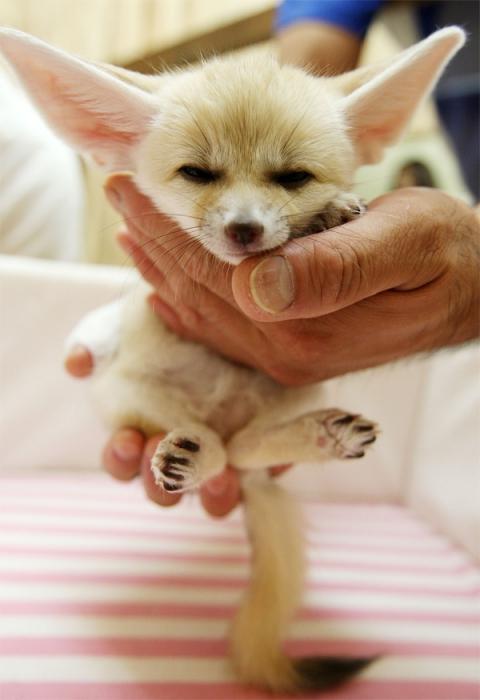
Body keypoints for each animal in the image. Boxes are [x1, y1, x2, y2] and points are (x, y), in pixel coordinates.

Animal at [0, 26, 464, 696]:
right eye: (197, 173)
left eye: (293, 177)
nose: (245, 229)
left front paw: (331, 213)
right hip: (129, 393)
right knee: (221, 448)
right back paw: (190, 455)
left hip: (294, 394)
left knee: (244, 450)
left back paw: (320, 436)